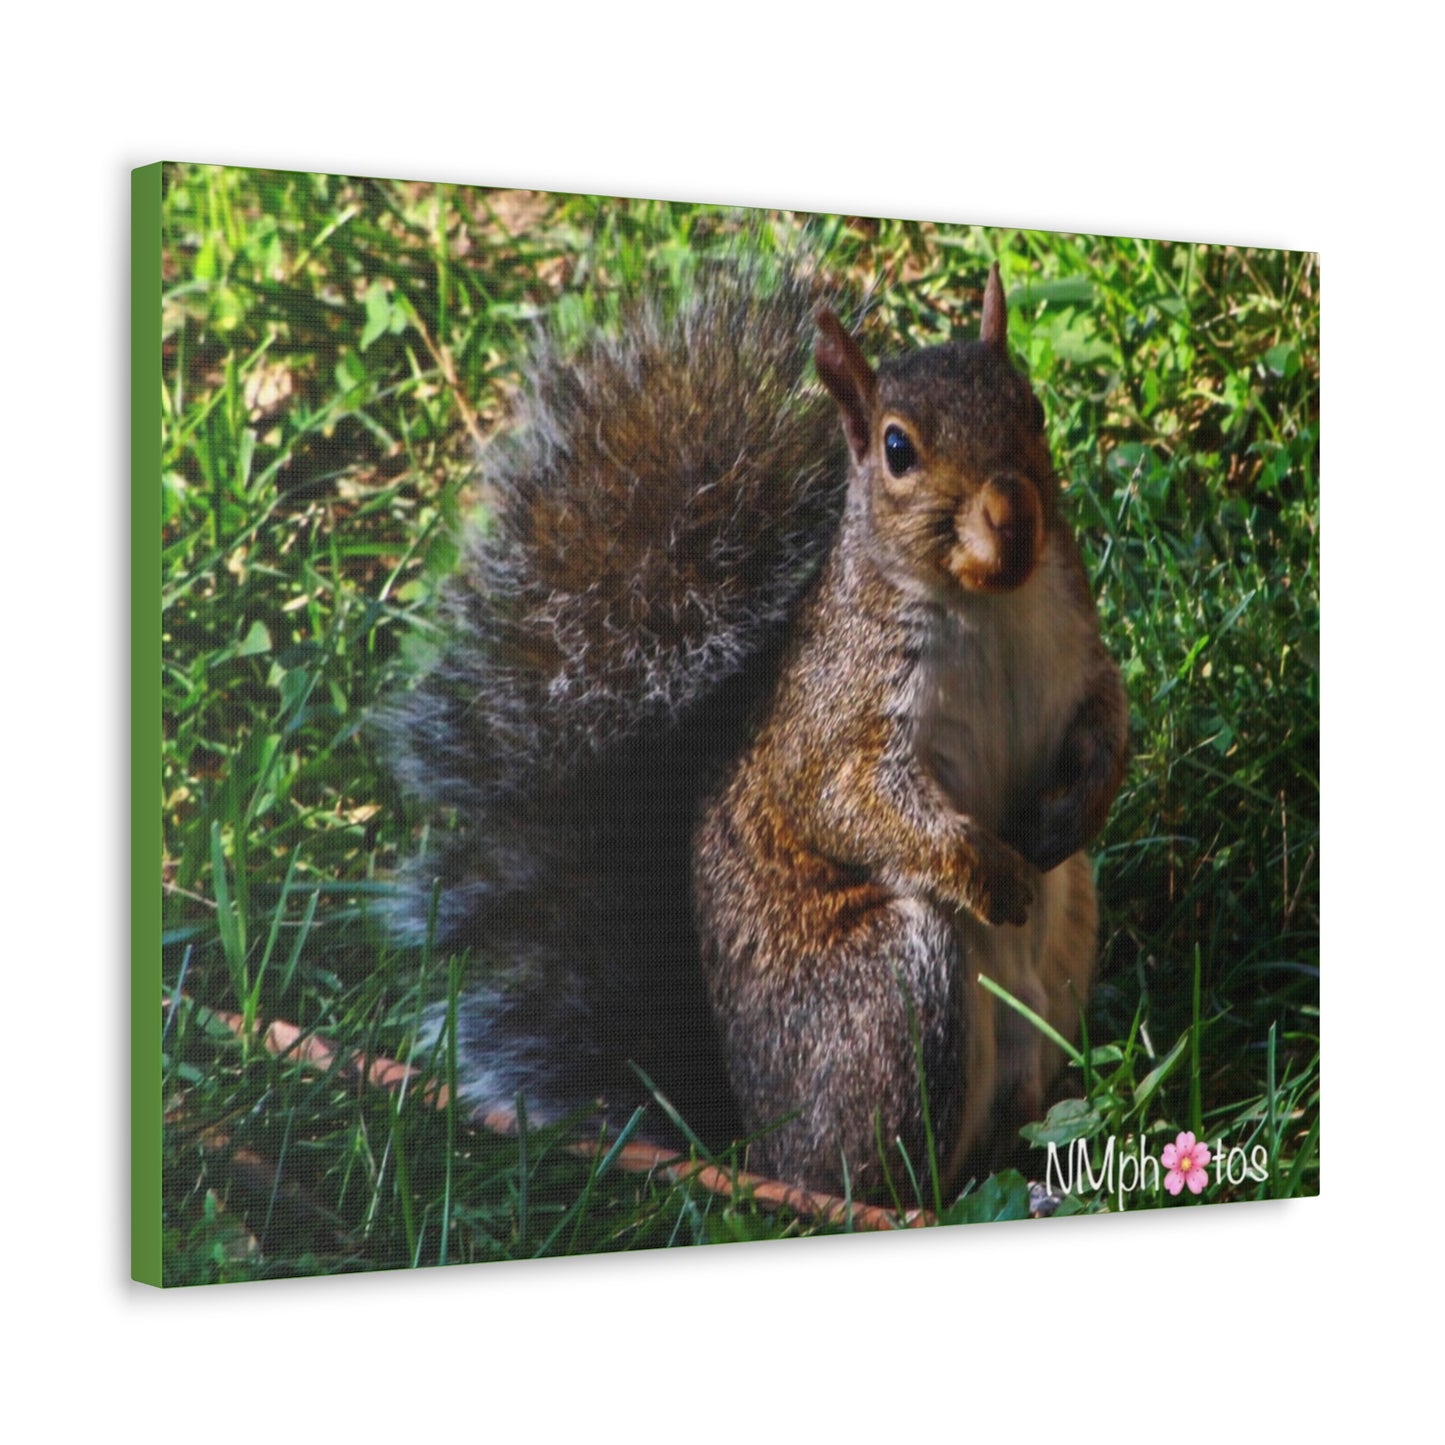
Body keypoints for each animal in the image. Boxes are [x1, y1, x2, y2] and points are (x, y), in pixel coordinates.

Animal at [383, 252, 1127, 1200]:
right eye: (897, 449)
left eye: (1030, 408)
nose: (1013, 513)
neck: (987, 604)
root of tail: (757, 1150)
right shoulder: (837, 718)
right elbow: (852, 806)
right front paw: (989, 874)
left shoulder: (1077, 654)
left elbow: (1108, 724)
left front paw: (1074, 811)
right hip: (888, 990)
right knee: (883, 1176)